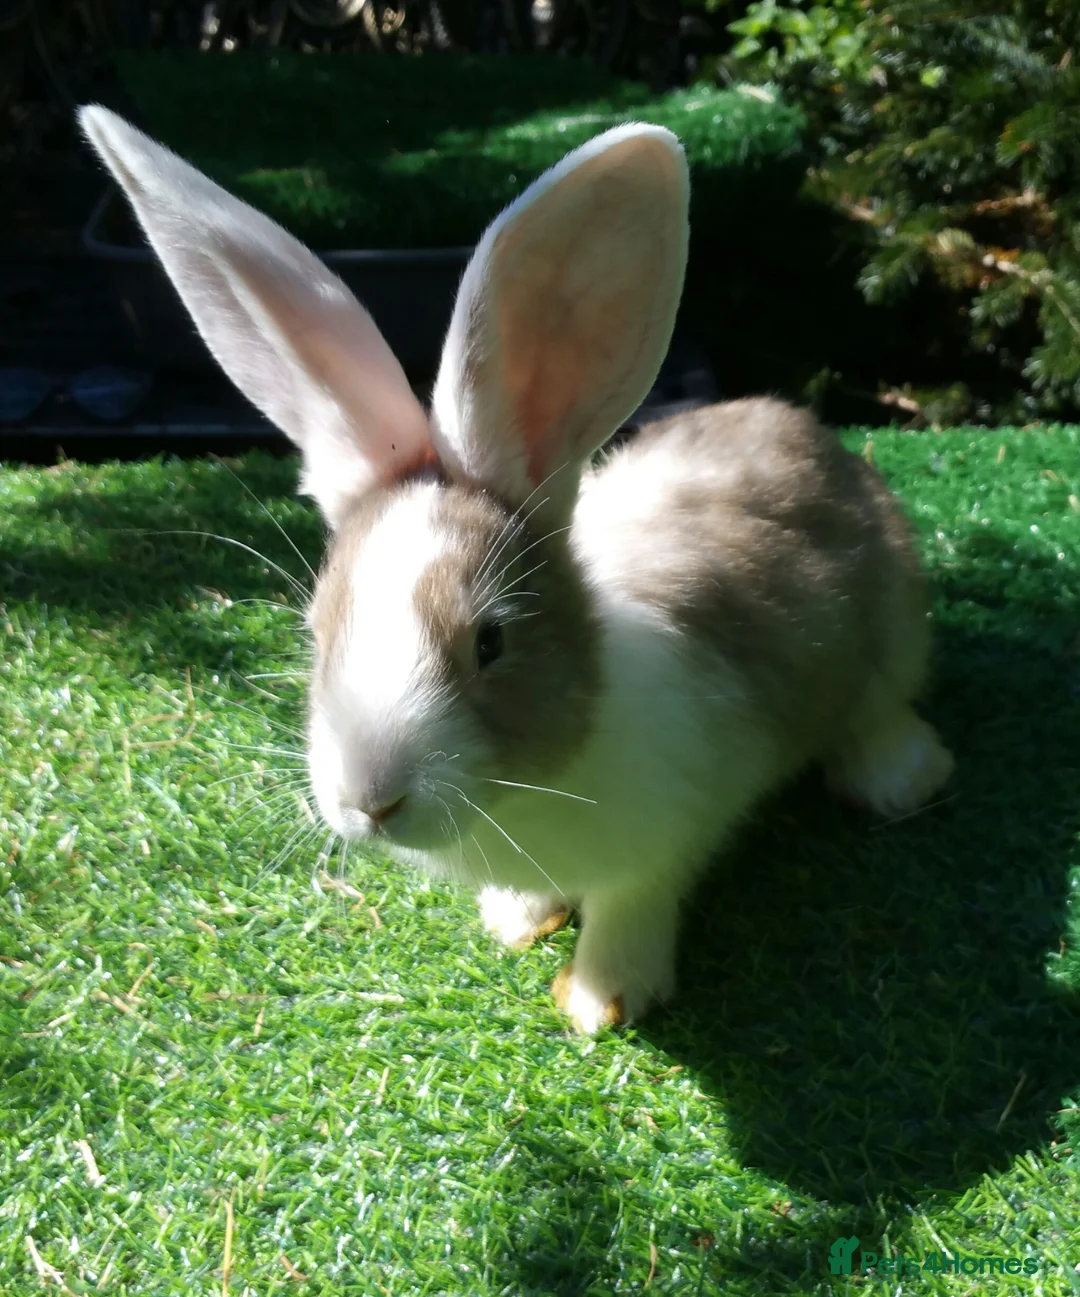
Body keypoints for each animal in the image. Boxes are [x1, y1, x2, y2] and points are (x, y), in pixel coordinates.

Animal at [79, 106, 954, 1034]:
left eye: (491, 642)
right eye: (317, 636)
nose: (372, 801)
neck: (531, 787)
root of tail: (812, 436)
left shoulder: (666, 838)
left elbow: (632, 907)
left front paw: (599, 1002)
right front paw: (515, 921)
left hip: (892, 631)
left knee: (883, 707)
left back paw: (898, 779)